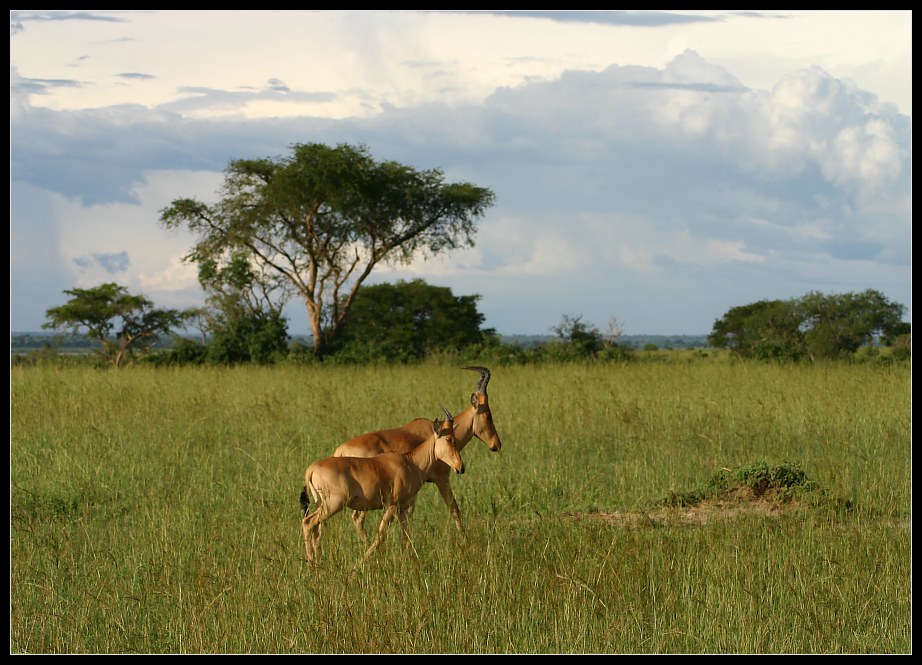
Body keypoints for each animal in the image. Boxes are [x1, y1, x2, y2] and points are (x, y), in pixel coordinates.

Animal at [300, 404, 464, 572]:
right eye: (448, 438)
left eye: (455, 437)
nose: (460, 467)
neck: (410, 462)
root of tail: (311, 469)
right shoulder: (391, 505)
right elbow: (381, 535)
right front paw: (356, 568)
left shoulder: (403, 508)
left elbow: (406, 536)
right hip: (333, 505)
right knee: (308, 522)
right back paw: (311, 566)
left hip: (322, 504)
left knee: (315, 529)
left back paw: (317, 565)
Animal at [332, 366, 504, 536]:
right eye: (488, 414)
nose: (496, 444)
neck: (437, 433)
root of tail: (340, 451)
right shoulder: (441, 478)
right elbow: (454, 509)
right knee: (357, 518)